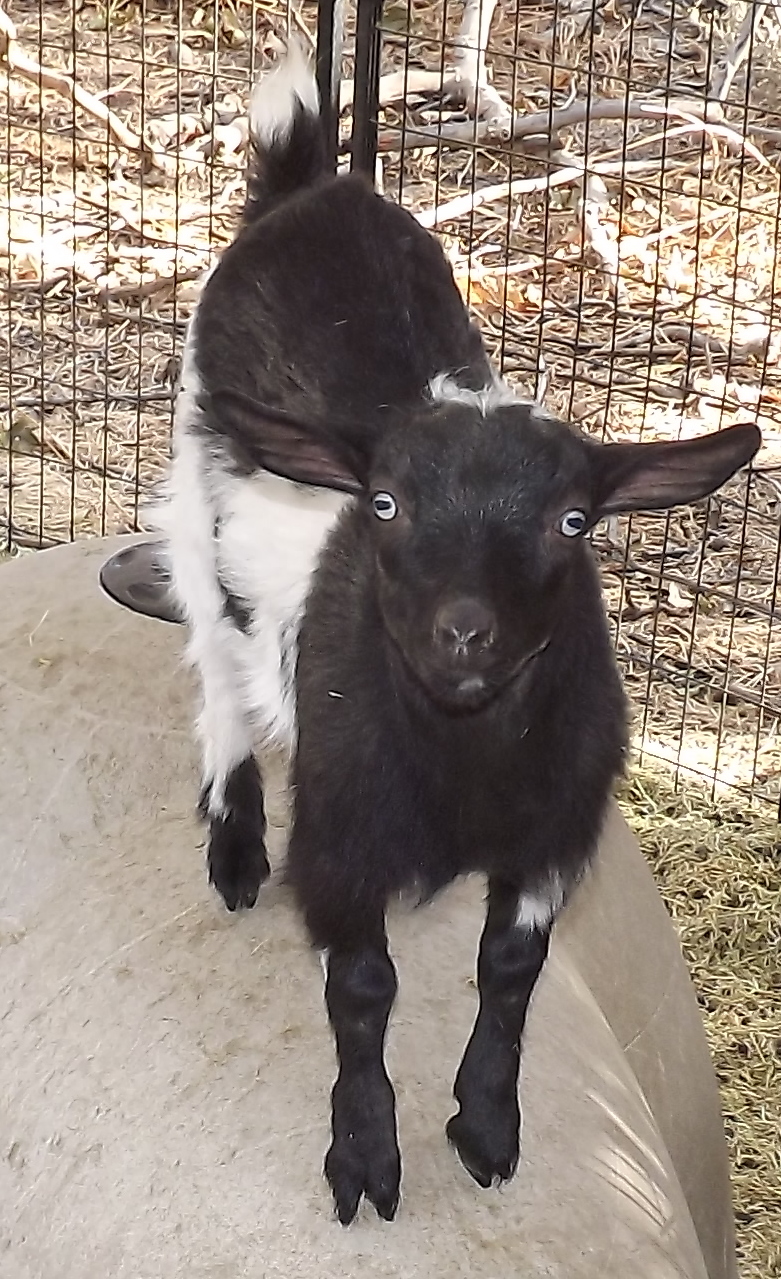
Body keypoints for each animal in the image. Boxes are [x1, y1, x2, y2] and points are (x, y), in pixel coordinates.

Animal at [155, 42, 761, 1225]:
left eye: (572, 520)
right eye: (384, 503)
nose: (462, 635)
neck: (464, 768)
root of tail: (311, 184)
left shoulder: (551, 835)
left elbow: (509, 973)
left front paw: (485, 1125)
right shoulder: (342, 842)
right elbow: (362, 988)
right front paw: (364, 1157)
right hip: (194, 492)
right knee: (215, 663)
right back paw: (233, 839)